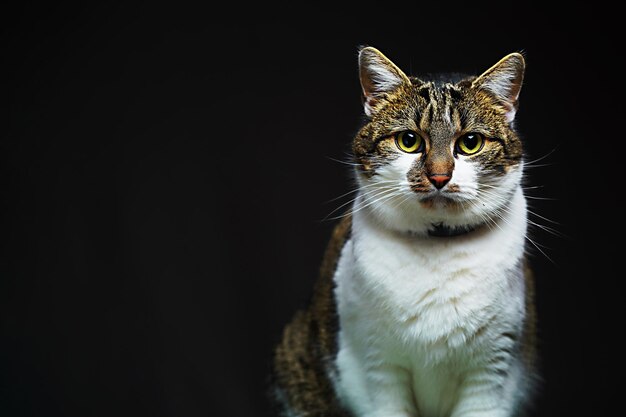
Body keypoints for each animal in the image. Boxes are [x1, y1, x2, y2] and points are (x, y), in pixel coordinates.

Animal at [270, 46, 540, 416]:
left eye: (470, 142)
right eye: (408, 141)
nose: (439, 176)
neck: (437, 249)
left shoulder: (490, 374)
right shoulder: (377, 367)